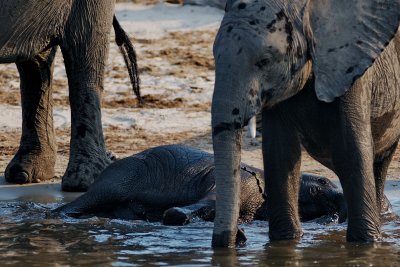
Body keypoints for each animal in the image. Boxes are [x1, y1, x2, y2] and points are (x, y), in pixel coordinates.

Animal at [211, 0, 398, 247]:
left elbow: (351, 153)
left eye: (265, 61)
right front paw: (285, 243)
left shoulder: (352, 73)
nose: (239, 237)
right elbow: (280, 155)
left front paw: (365, 244)